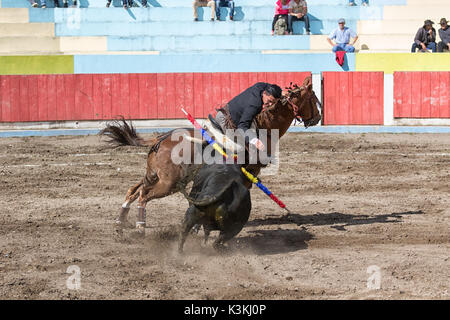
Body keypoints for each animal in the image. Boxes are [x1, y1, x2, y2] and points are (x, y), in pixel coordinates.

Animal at [100, 75, 322, 235]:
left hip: (156, 176)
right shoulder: (249, 173)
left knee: (133, 190)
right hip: (169, 183)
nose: (318, 117)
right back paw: (139, 226)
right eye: (313, 99)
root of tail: (160, 139)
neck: (263, 125)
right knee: (144, 195)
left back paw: (120, 222)